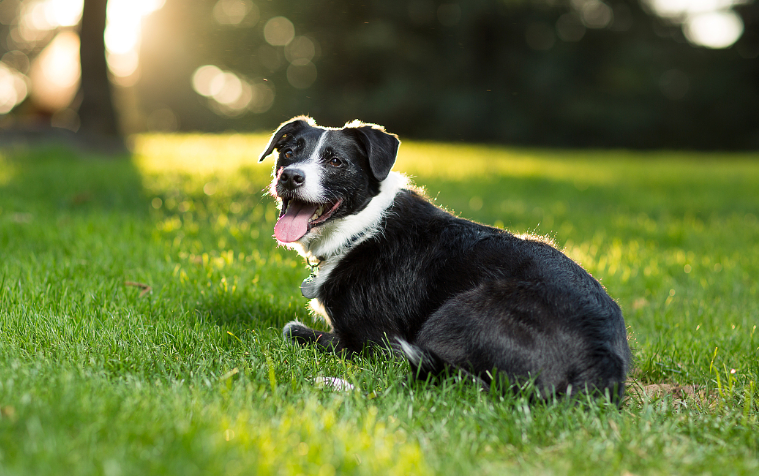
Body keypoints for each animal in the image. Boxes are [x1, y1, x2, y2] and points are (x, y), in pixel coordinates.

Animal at [258, 117, 632, 400]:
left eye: (335, 161)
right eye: (288, 152)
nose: (289, 176)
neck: (361, 228)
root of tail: (599, 366)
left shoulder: (378, 343)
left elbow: (292, 329)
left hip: (456, 313)